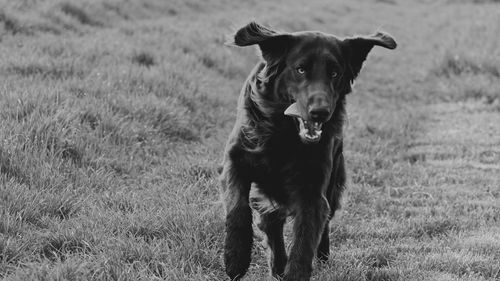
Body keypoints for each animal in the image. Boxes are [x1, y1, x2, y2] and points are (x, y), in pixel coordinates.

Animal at [221, 20, 396, 278]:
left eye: (335, 73)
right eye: (301, 69)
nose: (320, 112)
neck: (284, 135)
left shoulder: (312, 193)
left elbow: (304, 243)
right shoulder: (236, 159)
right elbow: (237, 207)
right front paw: (235, 257)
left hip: (333, 183)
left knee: (324, 224)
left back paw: (319, 256)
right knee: (271, 224)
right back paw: (276, 264)